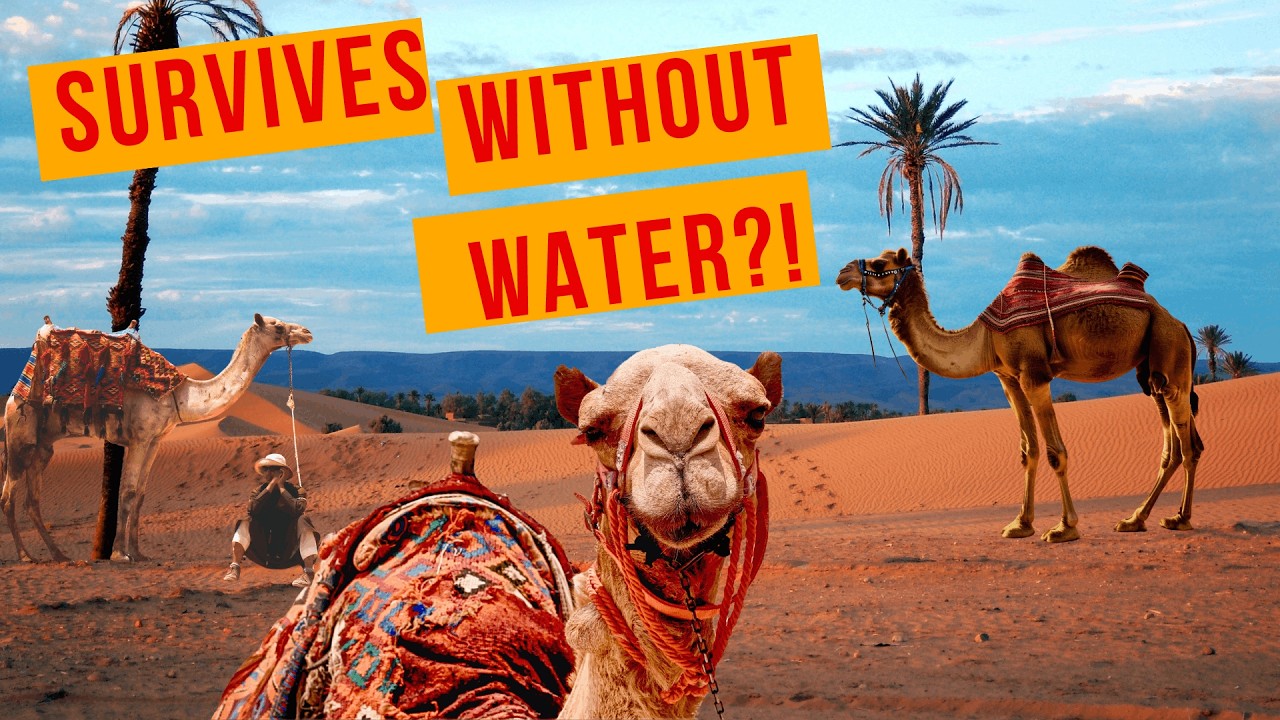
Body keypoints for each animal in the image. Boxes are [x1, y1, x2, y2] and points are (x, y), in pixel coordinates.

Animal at [2, 313, 312, 562]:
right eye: (277, 325)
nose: (306, 331)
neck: (179, 394)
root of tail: (14, 394)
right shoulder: (139, 438)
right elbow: (127, 492)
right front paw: (120, 554)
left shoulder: (154, 441)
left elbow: (140, 494)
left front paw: (138, 552)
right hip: (19, 435)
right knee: (8, 497)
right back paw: (26, 556)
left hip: (42, 446)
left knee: (32, 499)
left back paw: (58, 555)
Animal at [837, 247, 1202, 543]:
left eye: (879, 263)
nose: (843, 272)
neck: (983, 336)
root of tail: (1181, 323)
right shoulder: (1008, 380)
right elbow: (1029, 451)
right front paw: (1020, 524)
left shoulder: (1034, 376)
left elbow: (1056, 453)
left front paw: (1064, 528)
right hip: (1150, 372)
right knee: (1174, 446)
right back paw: (1135, 519)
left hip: (1169, 351)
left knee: (1187, 446)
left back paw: (1181, 519)